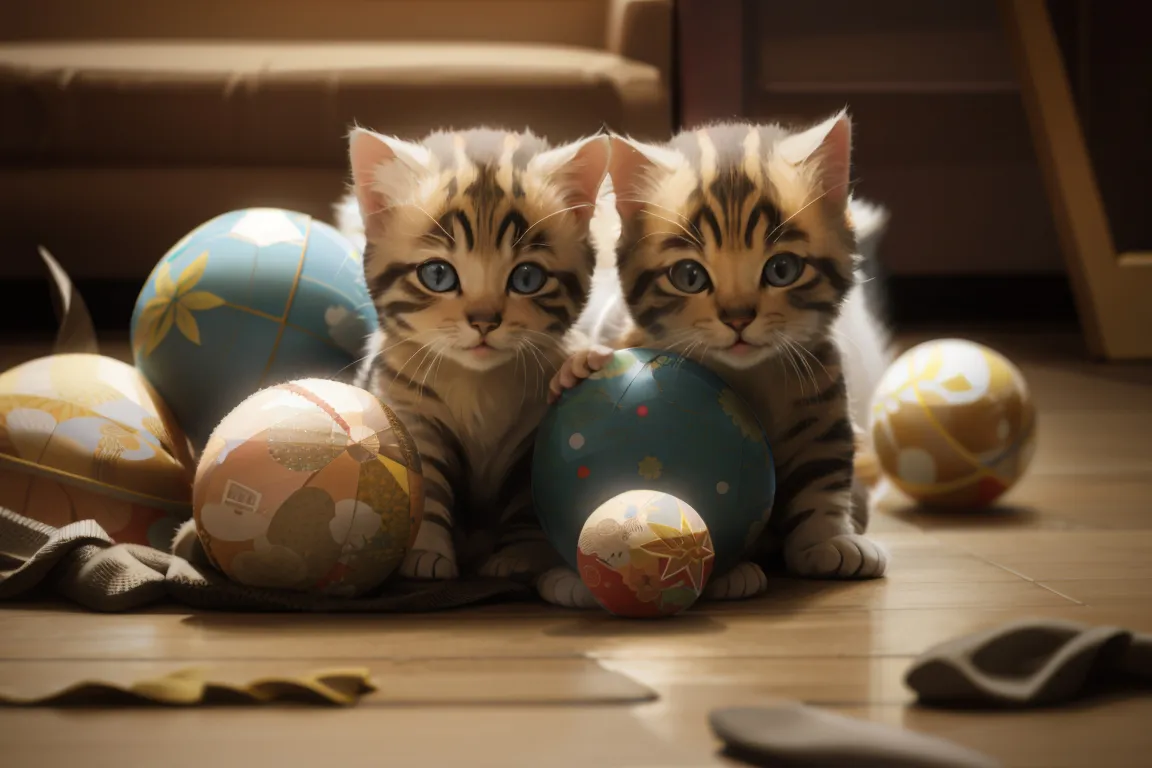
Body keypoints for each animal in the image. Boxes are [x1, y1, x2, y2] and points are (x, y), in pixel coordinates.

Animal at [336, 127, 612, 582]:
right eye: (437, 274)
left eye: (527, 278)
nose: (484, 321)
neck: (479, 384)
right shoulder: (412, 413)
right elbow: (427, 486)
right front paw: (426, 551)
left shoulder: (532, 436)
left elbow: (527, 501)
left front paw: (520, 557)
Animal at [546, 113, 889, 607]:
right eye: (689, 276)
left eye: (782, 270)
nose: (738, 317)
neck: (747, 378)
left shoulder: (821, 398)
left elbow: (823, 472)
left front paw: (828, 540)